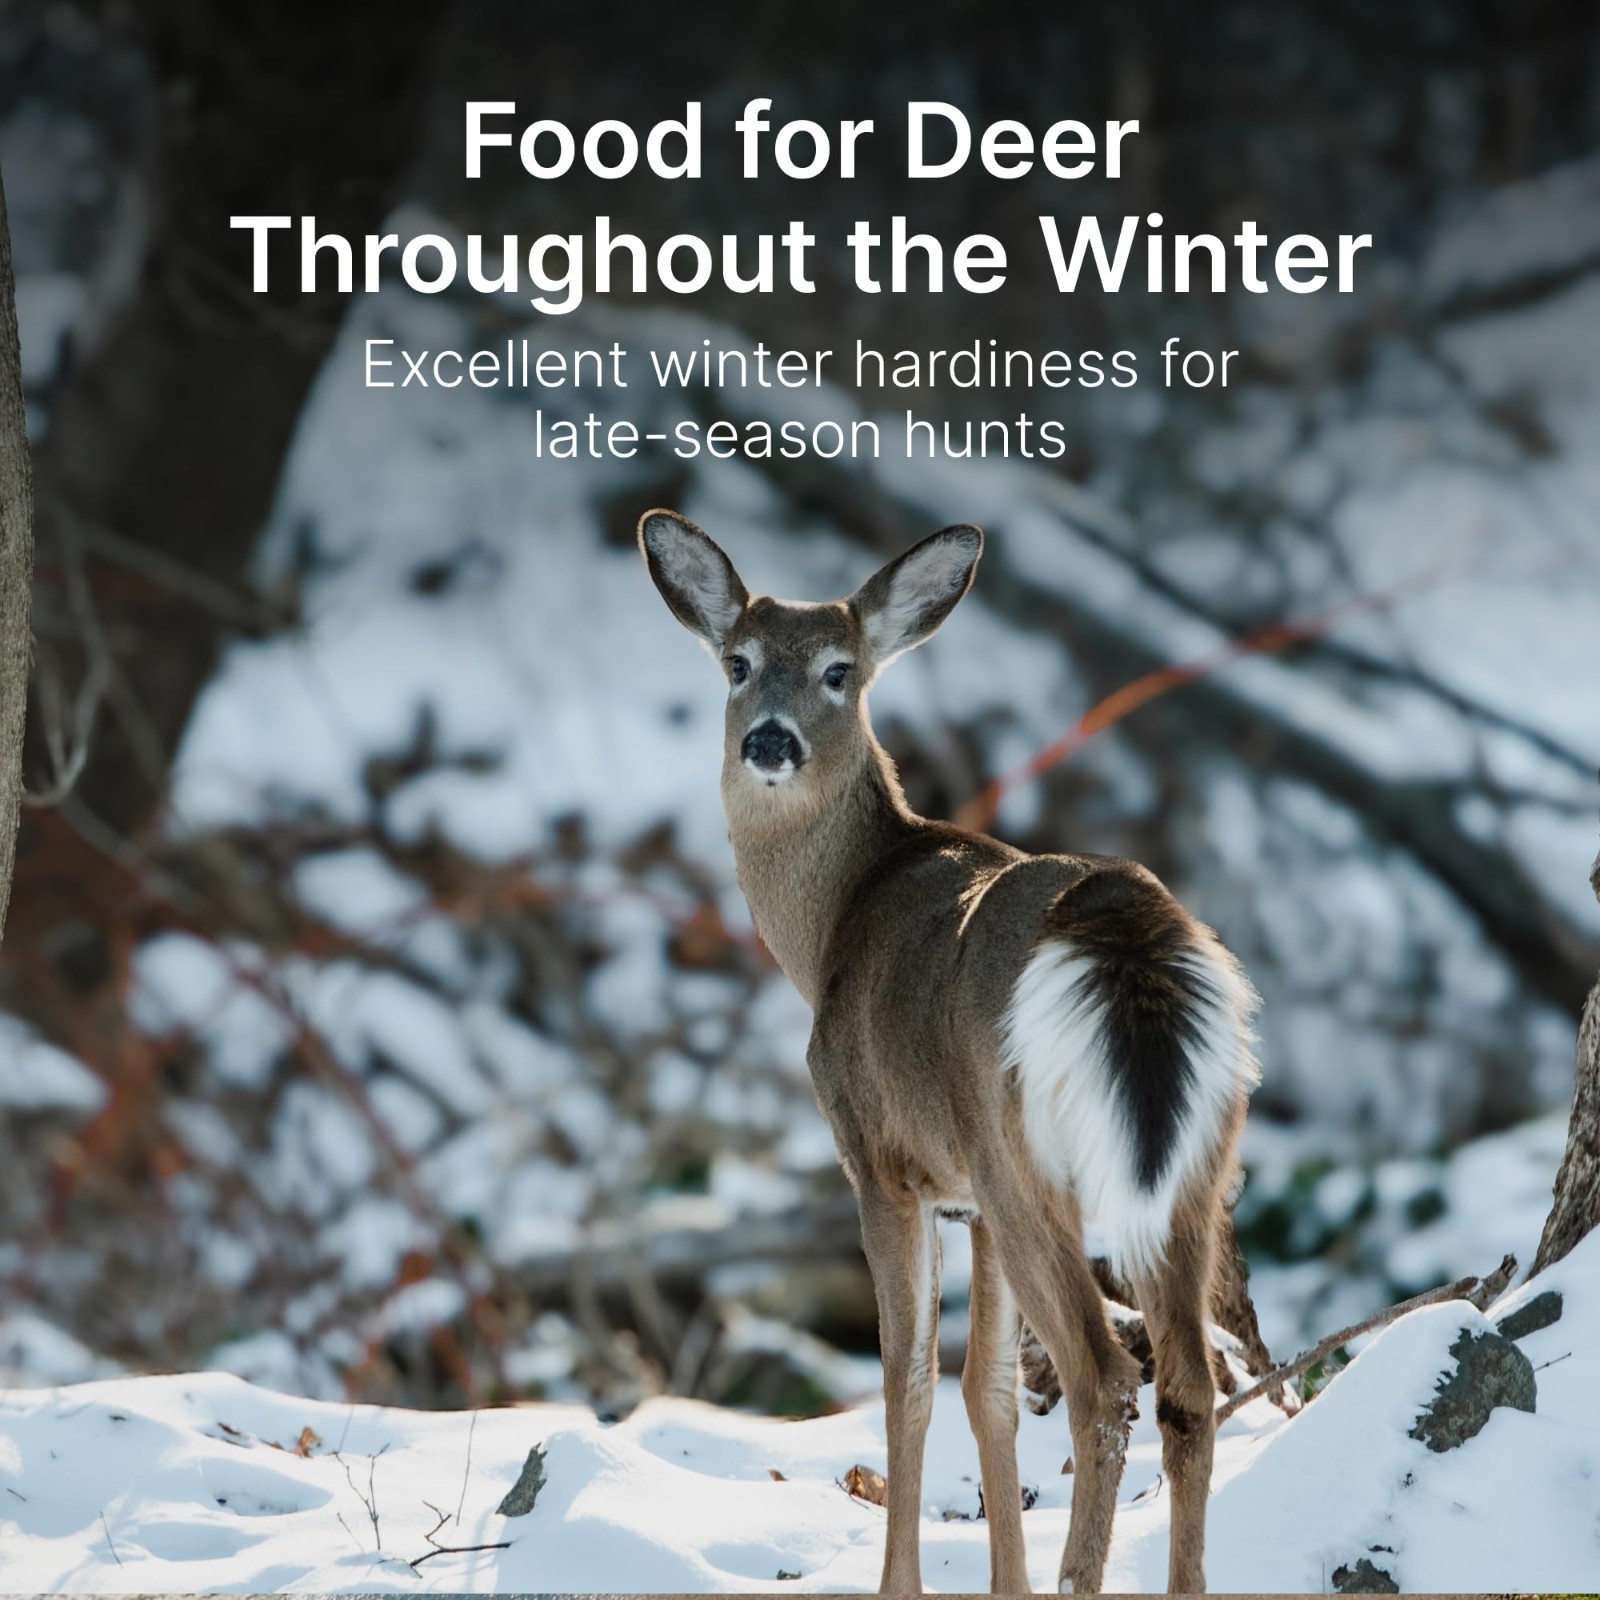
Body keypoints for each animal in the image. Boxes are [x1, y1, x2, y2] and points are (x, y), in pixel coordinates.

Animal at [638, 509, 1260, 1595]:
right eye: (739, 662)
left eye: (839, 671)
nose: (769, 739)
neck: (831, 924)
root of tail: (1126, 925)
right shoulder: (963, 1191)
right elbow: (990, 1393)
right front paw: (1004, 1582)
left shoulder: (882, 1157)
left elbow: (910, 1381)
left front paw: (904, 1584)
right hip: (1196, 1161)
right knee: (1187, 1382)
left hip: (1028, 1156)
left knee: (1106, 1377)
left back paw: (1079, 1575)